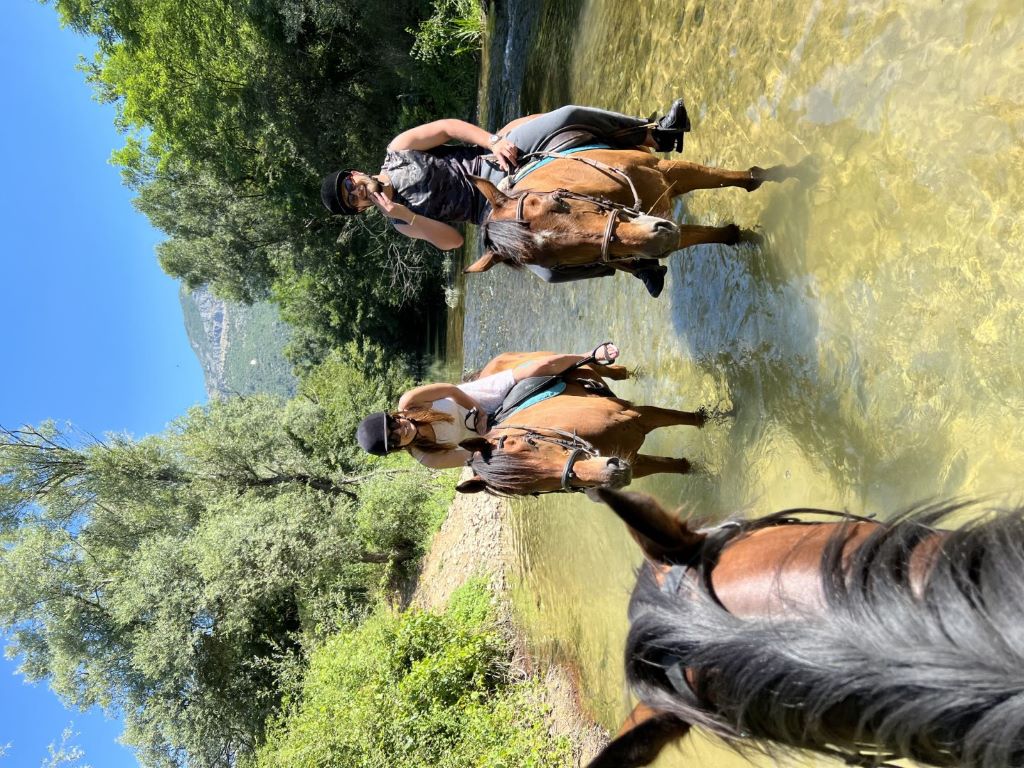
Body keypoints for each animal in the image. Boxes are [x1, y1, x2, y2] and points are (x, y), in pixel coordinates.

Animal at [454, 352, 705, 496]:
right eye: (534, 489)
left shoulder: (638, 416)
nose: (613, 474)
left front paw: (710, 417)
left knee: (609, 368)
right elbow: (674, 466)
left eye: (532, 443)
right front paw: (702, 472)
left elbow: (683, 418)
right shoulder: (634, 461)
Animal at [464, 149, 798, 276]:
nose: (655, 241)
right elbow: (710, 234)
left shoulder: (667, 170)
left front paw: (795, 171)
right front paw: (742, 236)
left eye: (559, 201)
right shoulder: (666, 224)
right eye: (557, 263)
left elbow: (745, 178)